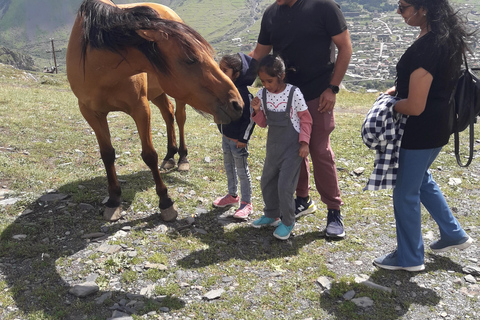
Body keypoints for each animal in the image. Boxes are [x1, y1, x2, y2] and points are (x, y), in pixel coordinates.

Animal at [65, 0, 242, 221]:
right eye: (190, 58)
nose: (237, 103)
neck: (99, 66)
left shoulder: (140, 108)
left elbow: (149, 155)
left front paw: (166, 202)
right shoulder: (91, 113)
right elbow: (107, 154)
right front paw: (114, 199)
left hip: (176, 96)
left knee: (179, 118)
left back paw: (182, 158)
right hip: (158, 93)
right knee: (168, 114)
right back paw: (170, 156)